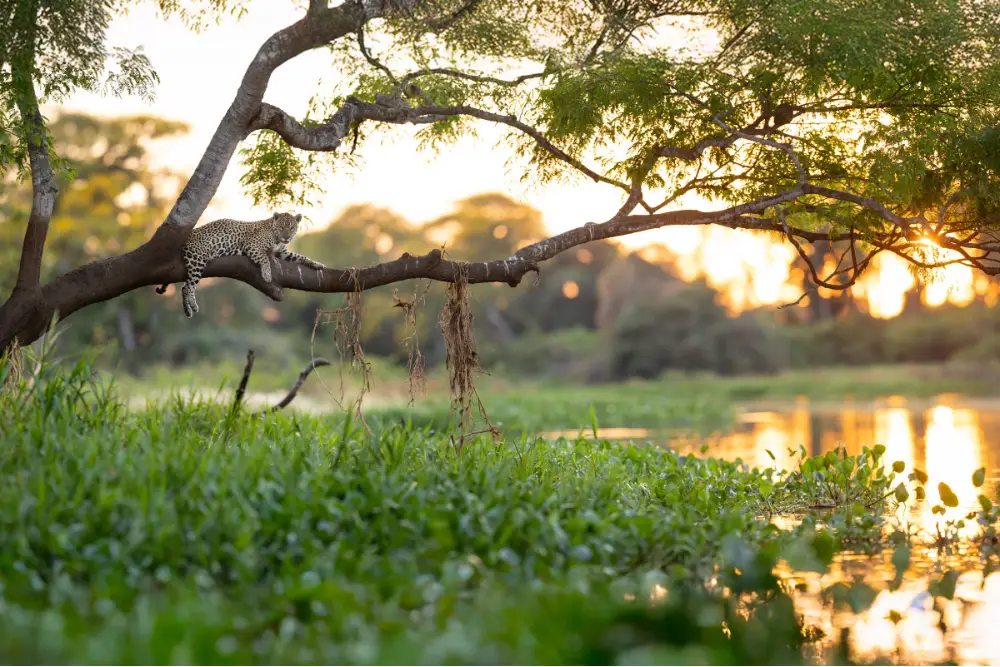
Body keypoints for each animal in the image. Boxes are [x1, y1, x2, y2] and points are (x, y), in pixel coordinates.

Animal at [156, 211, 325, 318]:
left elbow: (301, 257)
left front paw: (317, 264)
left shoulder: (283, 252)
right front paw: (267, 274)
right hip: (198, 260)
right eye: (282, 227)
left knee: (185, 287)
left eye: (291, 228)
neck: (276, 237)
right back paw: (193, 305)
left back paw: (188, 310)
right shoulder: (252, 246)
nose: (287, 237)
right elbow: (265, 258)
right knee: (188, 287)